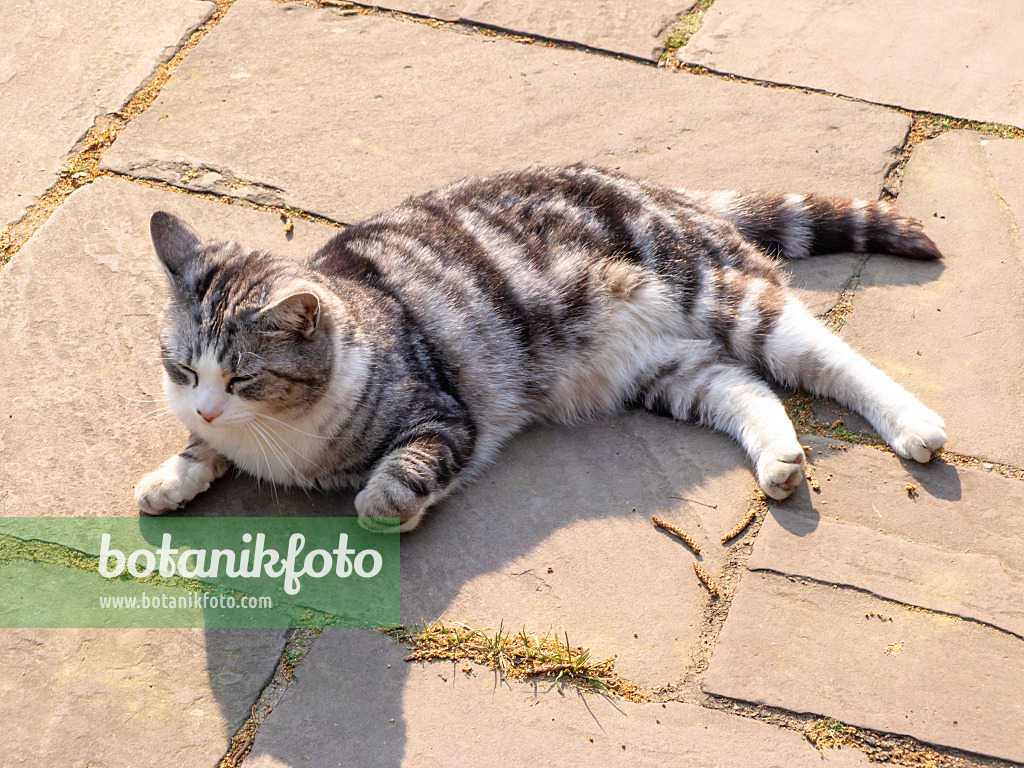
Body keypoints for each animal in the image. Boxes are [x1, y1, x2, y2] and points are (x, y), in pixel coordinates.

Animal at [134, 165, 942, 532]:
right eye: (183, 370)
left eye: (244, 379)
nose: (207, 408)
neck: (285, 443)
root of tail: (665, 190)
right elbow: (204, 454)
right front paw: (174, 475)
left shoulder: (444, 418)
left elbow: (404, 476)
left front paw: (382, 506)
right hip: (664, 370)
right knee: (749, 390)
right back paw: (779, 461)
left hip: (724, 298)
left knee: (830, 359)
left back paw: (913, 425)